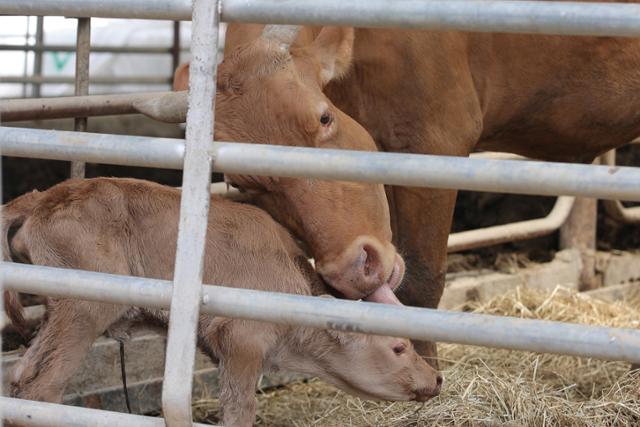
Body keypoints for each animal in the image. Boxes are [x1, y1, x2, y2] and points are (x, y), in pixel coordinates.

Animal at [2, 178, 440, 427]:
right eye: (398, 347)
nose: (436, 378)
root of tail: (45, 196)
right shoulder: (243, 343)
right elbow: (239, 410)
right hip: (83, 310)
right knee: (43, 387)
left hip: (57, 314)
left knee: (21, 374)